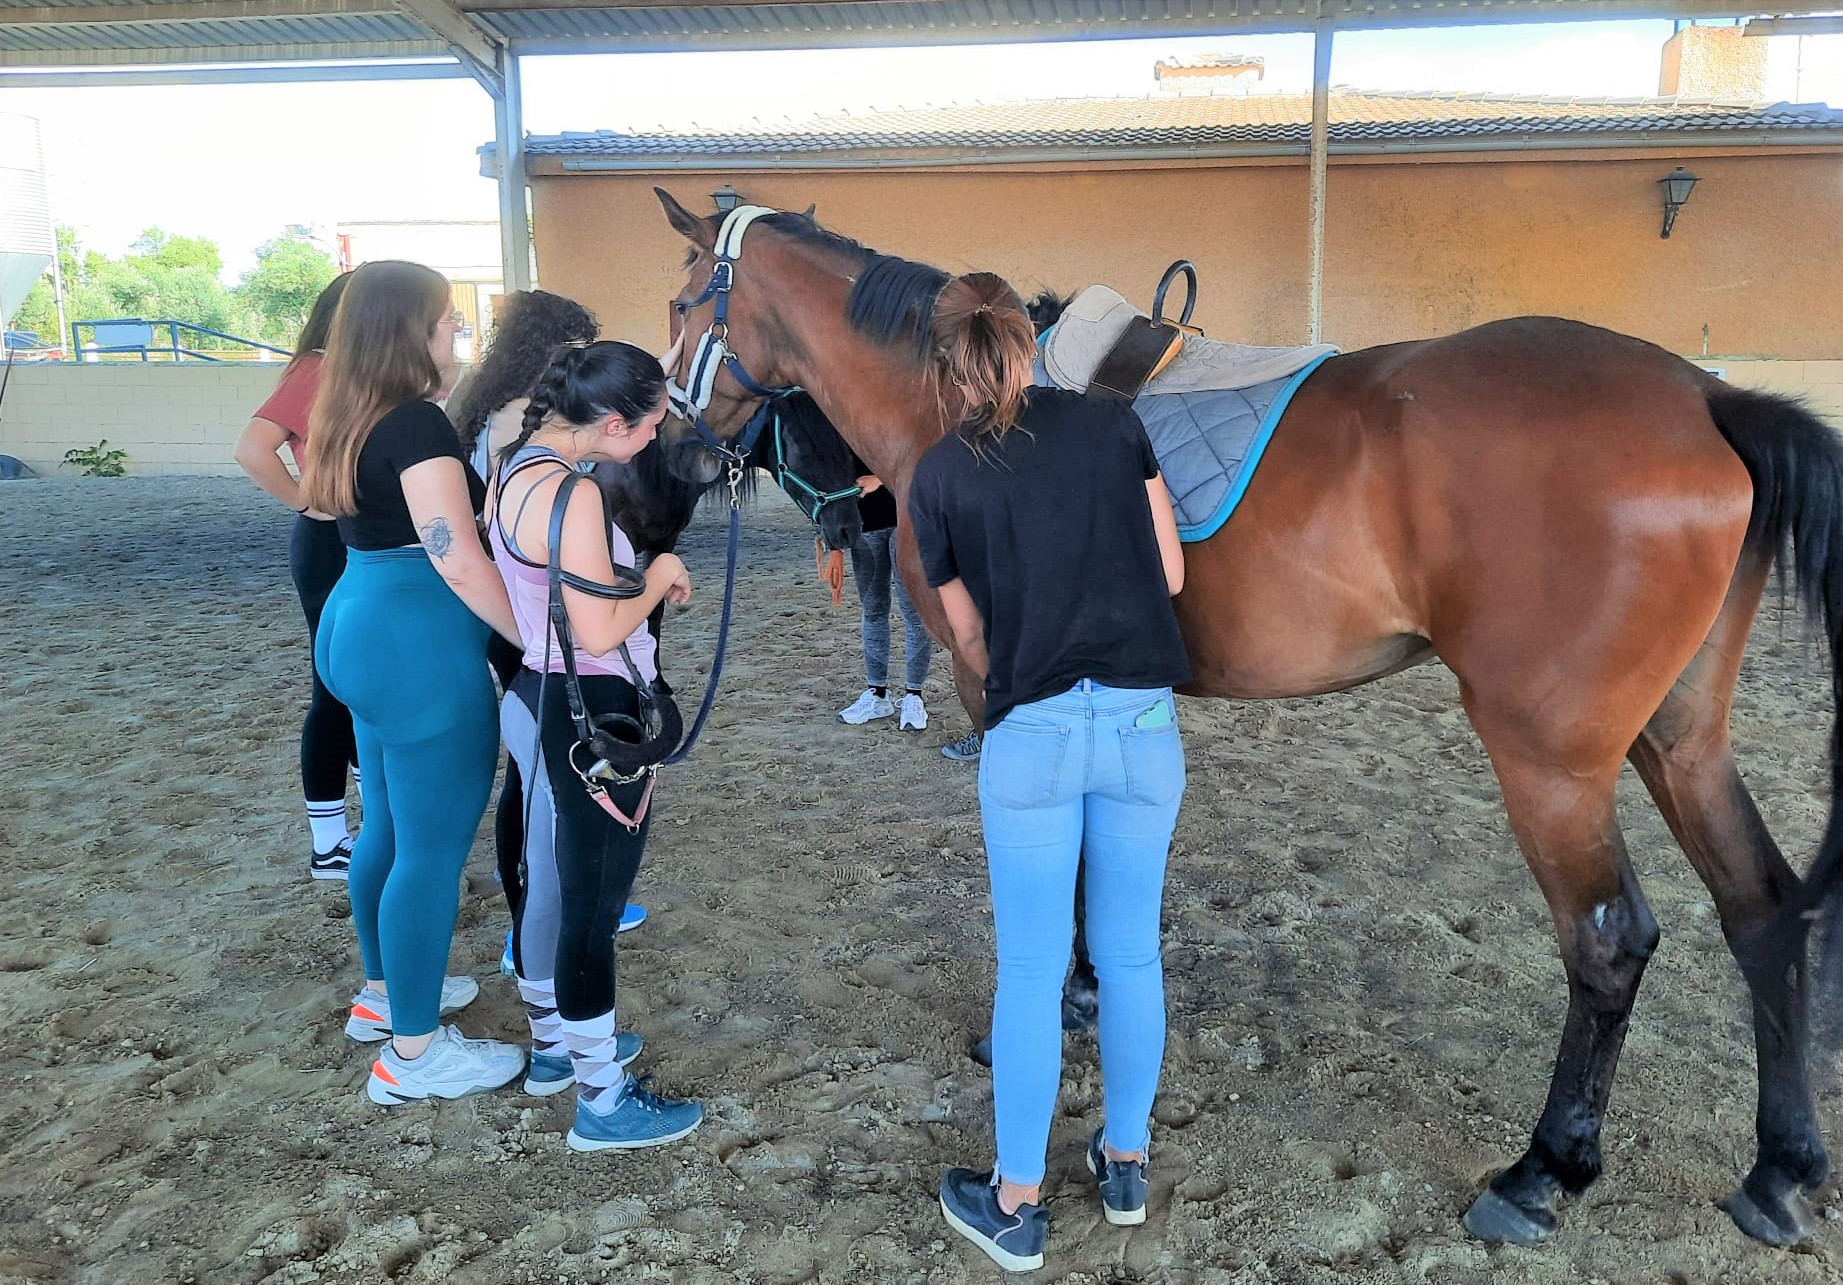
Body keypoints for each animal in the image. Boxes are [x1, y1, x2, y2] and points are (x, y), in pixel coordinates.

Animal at [651, 188, 1843, 1250]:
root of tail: (1703, 399)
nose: (673, 455)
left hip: (1552, 761)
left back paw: (1542, 1173)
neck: (968, 403)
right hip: (1678, 739)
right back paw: (1779, 1175)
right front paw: (1090, 992)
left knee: (1607, 943)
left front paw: (1058, 1002)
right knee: (1760, 909)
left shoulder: (1000, 689)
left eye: (678, 301)